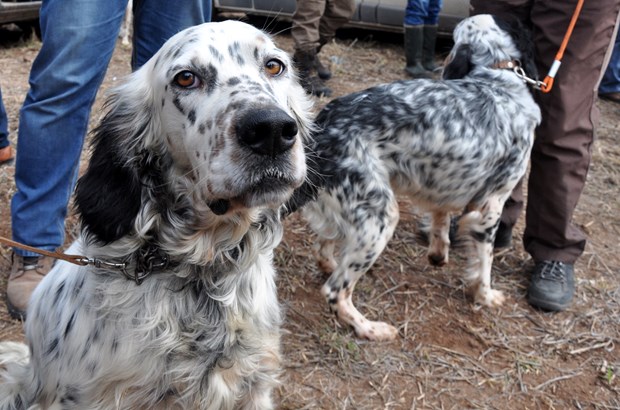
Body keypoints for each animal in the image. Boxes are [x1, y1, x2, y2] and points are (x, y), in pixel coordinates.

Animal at [288, 14, 540, 342]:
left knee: (324, 249)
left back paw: (333, 266)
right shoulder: (491, 204)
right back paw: (368, 327)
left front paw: (438, 254)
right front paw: (484, 295)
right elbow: (484, 262)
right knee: (335, 290)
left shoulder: (443, 185)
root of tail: (325, 123)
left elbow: (441, 220)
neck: (496, 79)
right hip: (381, 216)